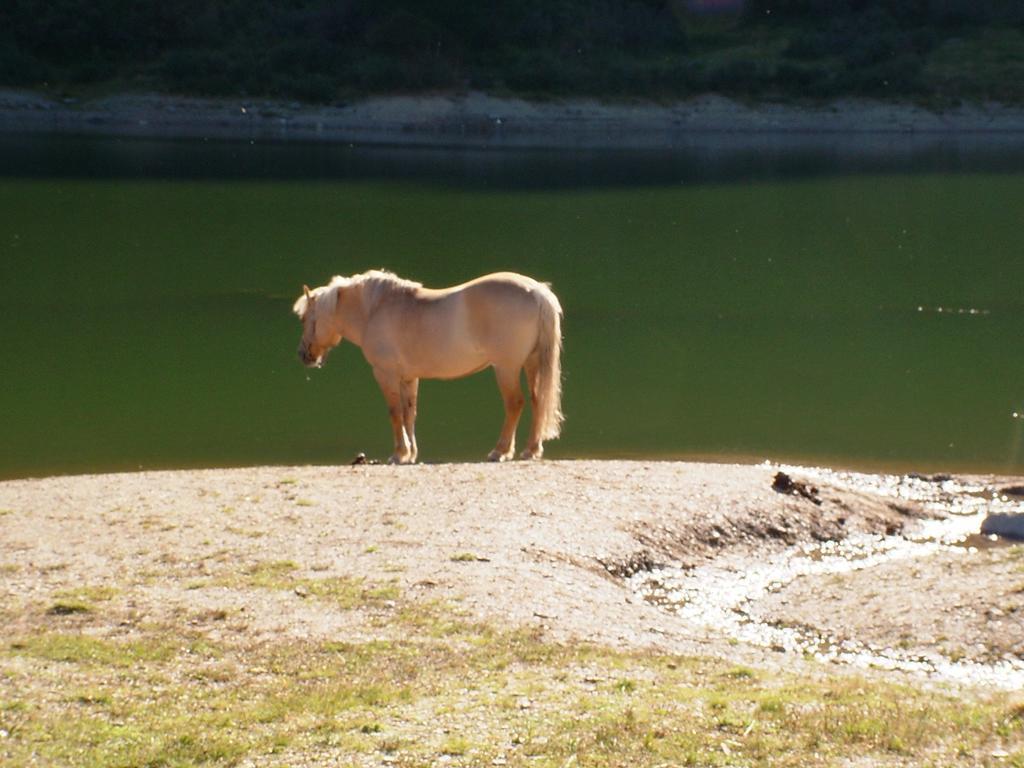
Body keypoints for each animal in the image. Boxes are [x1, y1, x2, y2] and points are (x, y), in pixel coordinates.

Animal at [296, 270, 565, 462]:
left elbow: (395, 412)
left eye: (305, 318)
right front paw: (410, 454)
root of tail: (537, 291)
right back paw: (530, 450)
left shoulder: (385, 374)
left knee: (514, 404)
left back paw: (500, 451)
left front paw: (398, 454)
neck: (376, 309)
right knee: (537, 401)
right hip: (531, 363)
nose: (303, 355)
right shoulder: (408, 378)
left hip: (506, 368)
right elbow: (409, 414)